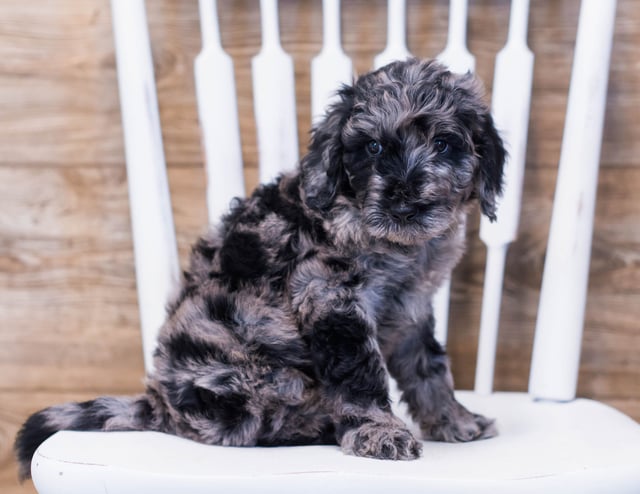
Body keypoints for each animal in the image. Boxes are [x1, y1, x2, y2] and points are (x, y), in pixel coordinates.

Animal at [13, 58, 504, 478]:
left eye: (443, 143)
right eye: (373, 147)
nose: (403, 202)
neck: (394, 243)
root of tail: (156, 405)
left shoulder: (409, 309)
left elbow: (428, 368)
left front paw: (455, 420)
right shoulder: (328, 293)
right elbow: (359, 373)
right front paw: (378, 431)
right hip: (258, 377)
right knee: (248, 428)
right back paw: (319, 425)